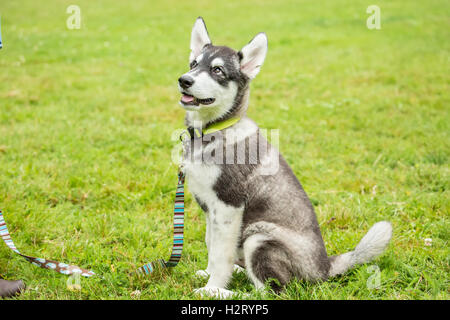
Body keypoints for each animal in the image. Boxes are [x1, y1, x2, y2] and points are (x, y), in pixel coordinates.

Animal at [178, 16, 392, 298]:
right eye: (194, 64)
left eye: (218, 71)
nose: (183, 80)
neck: (213, 132)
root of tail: (324, 268)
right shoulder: (210, 210)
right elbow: (211, 245)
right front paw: (210, 275)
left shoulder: (228, 206)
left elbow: (219, 254)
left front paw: (213, 285)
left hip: (259, 237)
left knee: (271, 291)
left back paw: (221, 293)